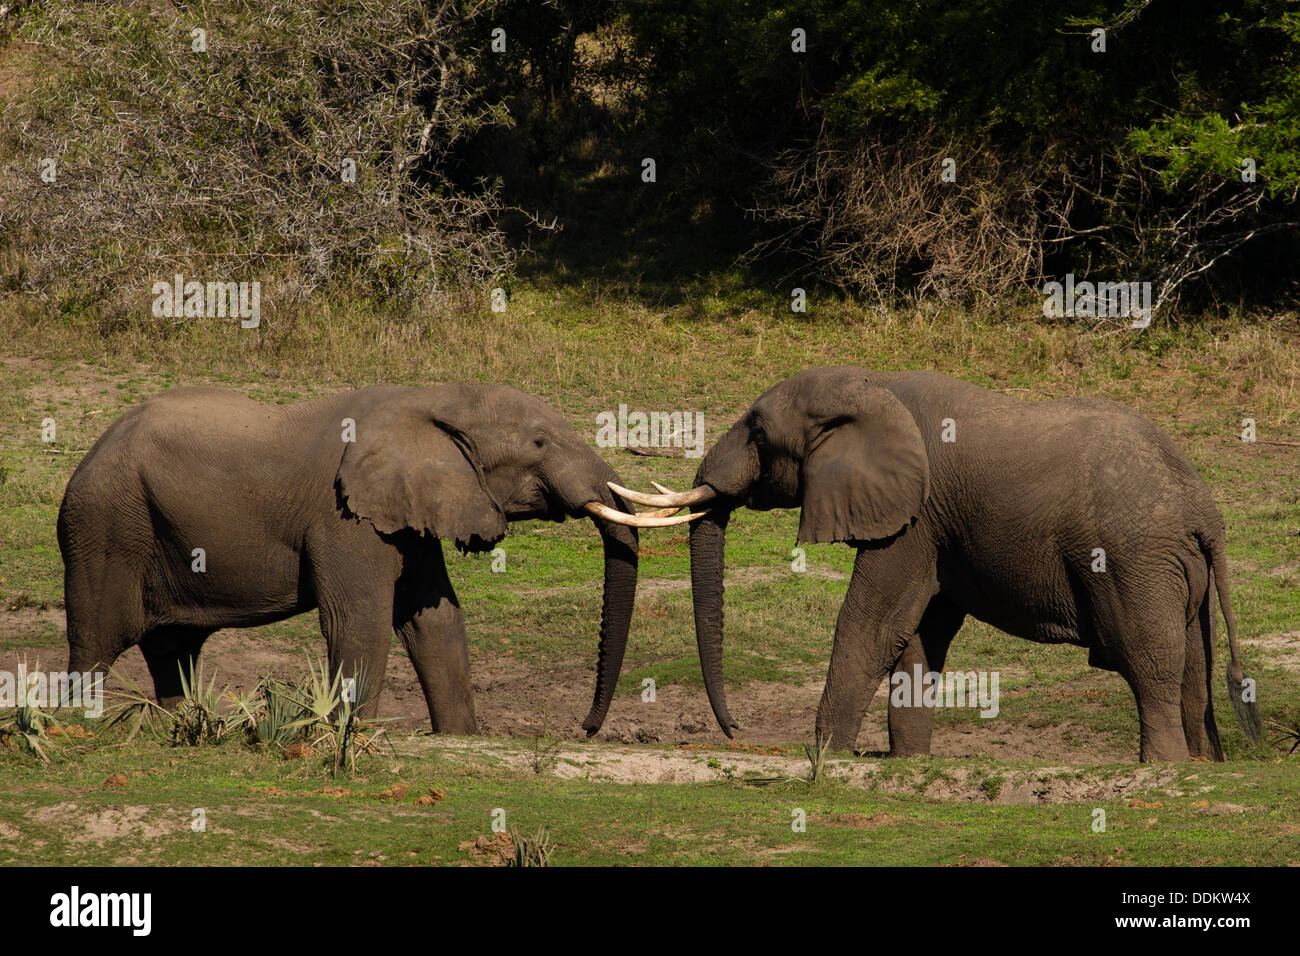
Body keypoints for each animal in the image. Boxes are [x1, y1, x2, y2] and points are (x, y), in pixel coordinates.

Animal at [55, 385, 686, 738]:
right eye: (538, 443)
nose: (585, 728)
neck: (429, 398)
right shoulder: (345, 516)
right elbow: (360, 620)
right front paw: (346, 737)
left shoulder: (410, 510)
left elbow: (435, 619)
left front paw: (461, 740)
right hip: (102, 528)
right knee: (96, 642)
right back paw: (77, 726)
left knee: (175, 651)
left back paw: (180, 726)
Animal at [613, 366, 1263, 764]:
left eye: (755, 429)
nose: (734, 732)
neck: (873, 386)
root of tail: (1205, 509)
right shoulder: (936, 527)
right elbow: (919, 633)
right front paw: (904, 763)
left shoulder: (916, 517)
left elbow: (873, 624)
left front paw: (825, 756)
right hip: (1175, 567)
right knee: (1192, 665)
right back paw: (1201, 765)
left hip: (1135, 561)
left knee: (1150, 663)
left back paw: (1162, 767)